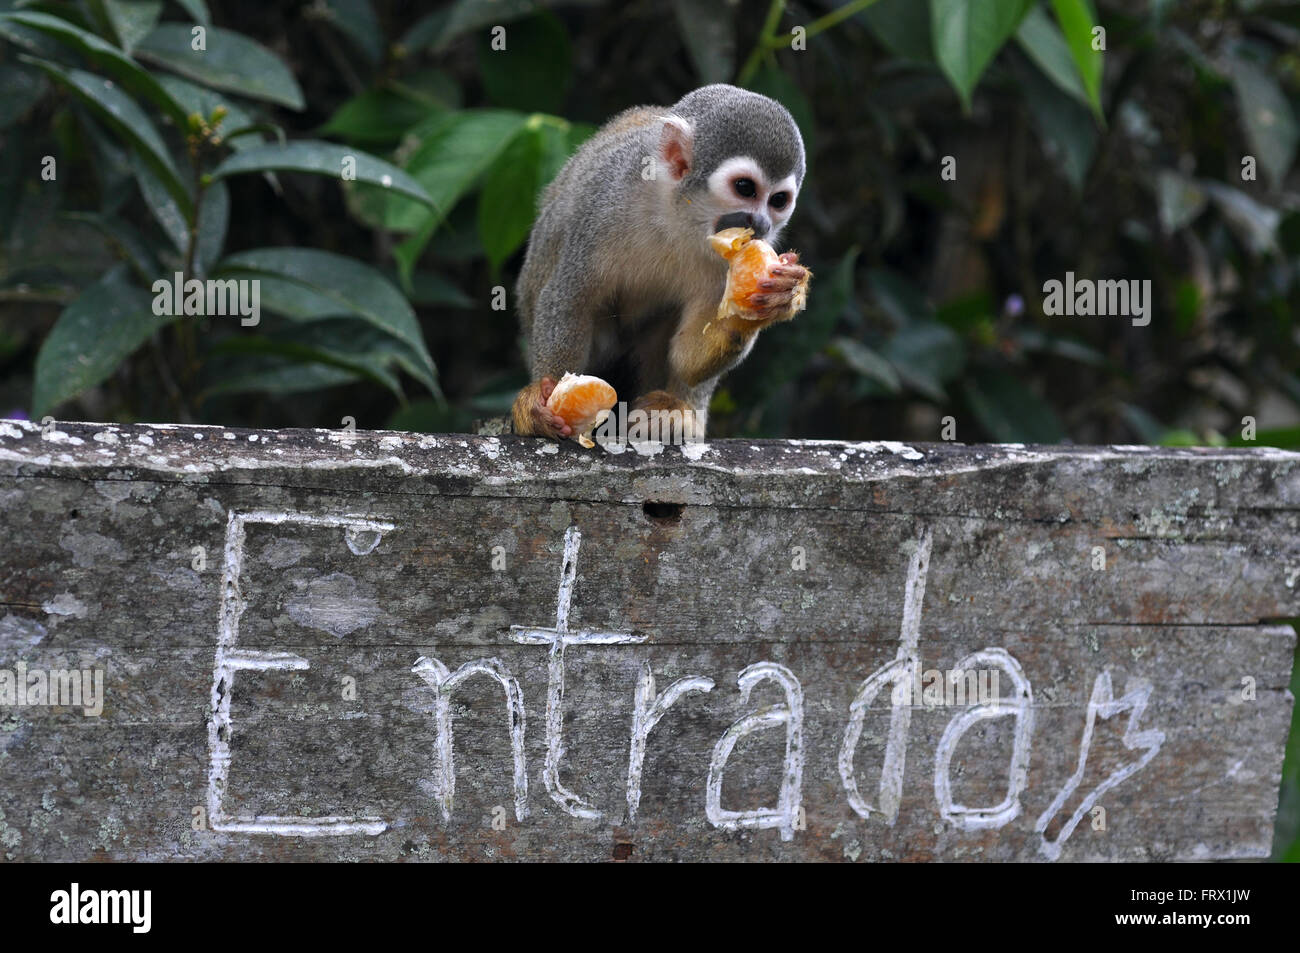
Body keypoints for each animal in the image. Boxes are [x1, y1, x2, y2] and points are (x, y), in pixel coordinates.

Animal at [512, 83, 806, 439]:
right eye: (745, 188)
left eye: (778, 200)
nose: (762, 224)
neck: (679, 217)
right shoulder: (603, 203)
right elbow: (570, 297)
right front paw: (546, 402)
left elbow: (686, 357)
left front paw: (772, 300)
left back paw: (681, 412)